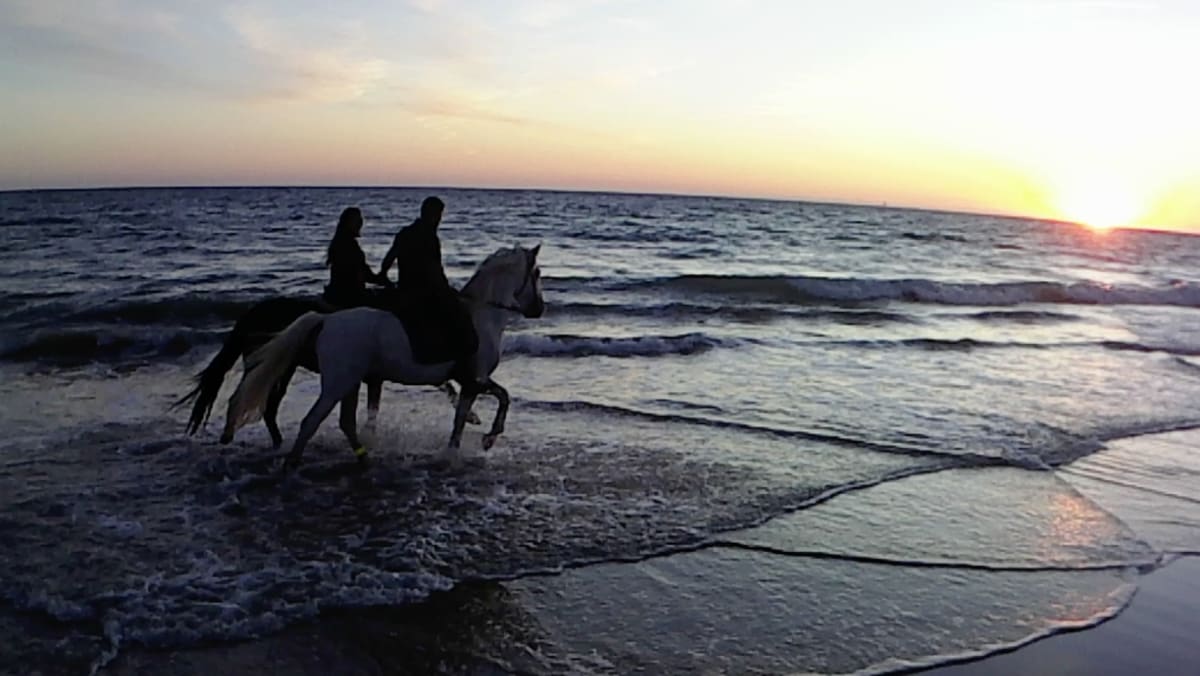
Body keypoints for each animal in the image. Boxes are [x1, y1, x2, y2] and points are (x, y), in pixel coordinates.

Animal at [223, 244, 544, 468]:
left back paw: (364, 459)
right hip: (337, 384)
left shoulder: (471, 382)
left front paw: (466, 446)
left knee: (345, 422)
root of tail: (326, 320)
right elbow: (493, 403)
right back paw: (291, 463)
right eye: (538, 274)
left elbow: (472, 413)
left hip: (350, 383)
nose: (539, 309)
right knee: (310, 421)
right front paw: (484, 440)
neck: (484, 315)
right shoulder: (474, 380)